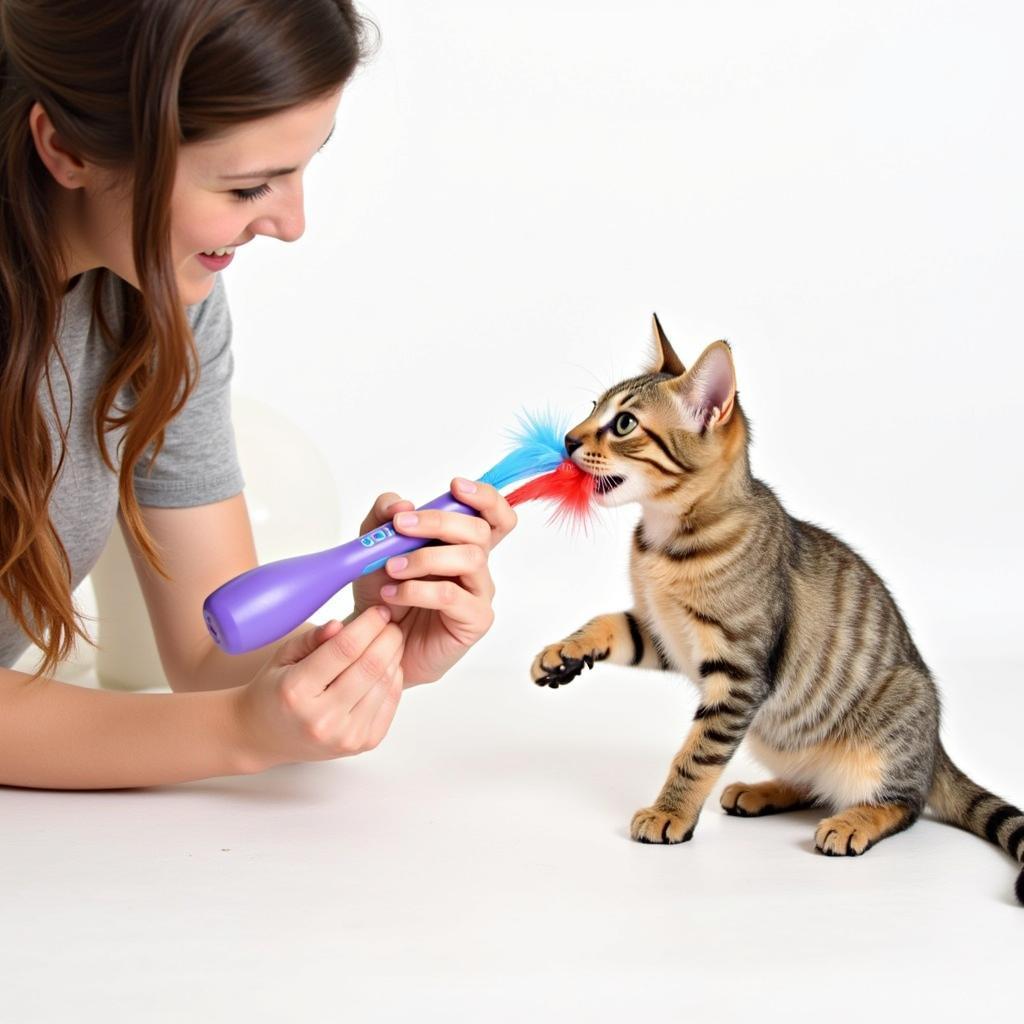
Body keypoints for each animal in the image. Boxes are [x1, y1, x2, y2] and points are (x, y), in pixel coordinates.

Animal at [532, 317, 1019, 905]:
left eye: (623, 423)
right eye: (592, 406)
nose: (568, 438)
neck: (663, 539)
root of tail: (935, 750)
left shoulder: (738, 672)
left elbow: (697, 754)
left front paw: (671, 813)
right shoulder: (667, 635)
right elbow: (609, 622)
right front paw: (561, 652)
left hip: (895, 715)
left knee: (905, 804)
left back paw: (853, 822)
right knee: (815, 785)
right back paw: (761, 792)